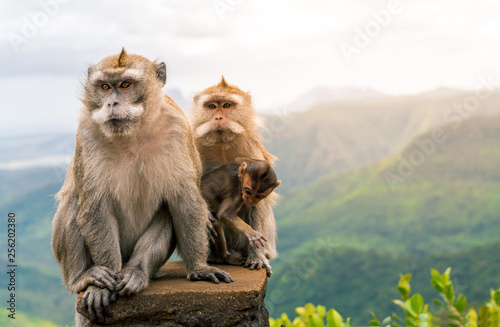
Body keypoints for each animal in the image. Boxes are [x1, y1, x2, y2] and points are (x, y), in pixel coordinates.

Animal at [53, 49, 234, 327]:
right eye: (104, 87)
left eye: (126, 85)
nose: (112, 104)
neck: (133, 134)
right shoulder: (86, 132)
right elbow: (95, 208)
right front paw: (100, 288)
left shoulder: (178, 128)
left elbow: (185, 202)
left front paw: (200, 269)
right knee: (74, 203)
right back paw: (82, 278)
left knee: (167, 210)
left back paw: (136, 273)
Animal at [190, 77, 280, 276]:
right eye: (212, 106)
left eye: (226, 105)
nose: (218, 118)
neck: (222, 145)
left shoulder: (251, 150)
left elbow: (259, 206)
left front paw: (256, 256)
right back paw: (216, 256)